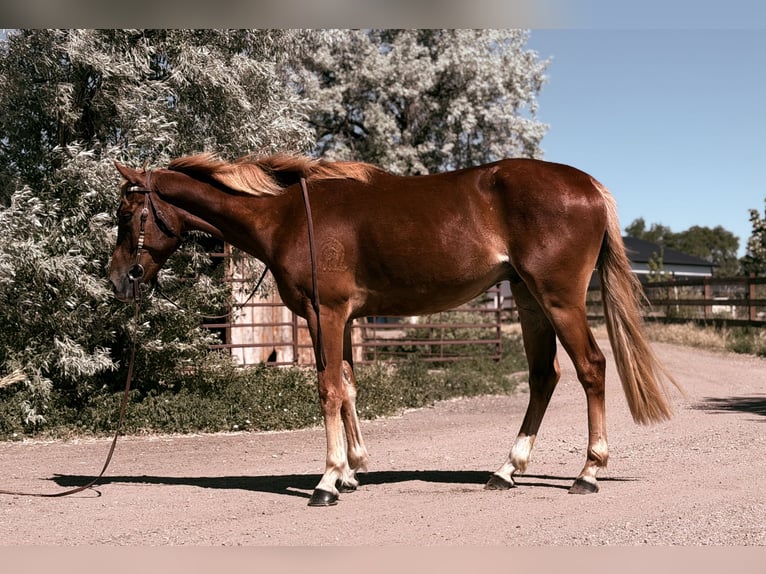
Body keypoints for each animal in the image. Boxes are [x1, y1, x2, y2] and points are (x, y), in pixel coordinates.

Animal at [109, 152, 681, 506]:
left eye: (128, 215)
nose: (119, 278)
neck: (286, 214)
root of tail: (589, 186)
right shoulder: (341, 319)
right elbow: (347, 385)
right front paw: (352, 470)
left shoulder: (325, 312)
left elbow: (327, 388)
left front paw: (327, 480)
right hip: (528, 300)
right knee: (545, 378)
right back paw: (506, 470)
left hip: (558, 299)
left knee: (591, 368)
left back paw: (587, 473)